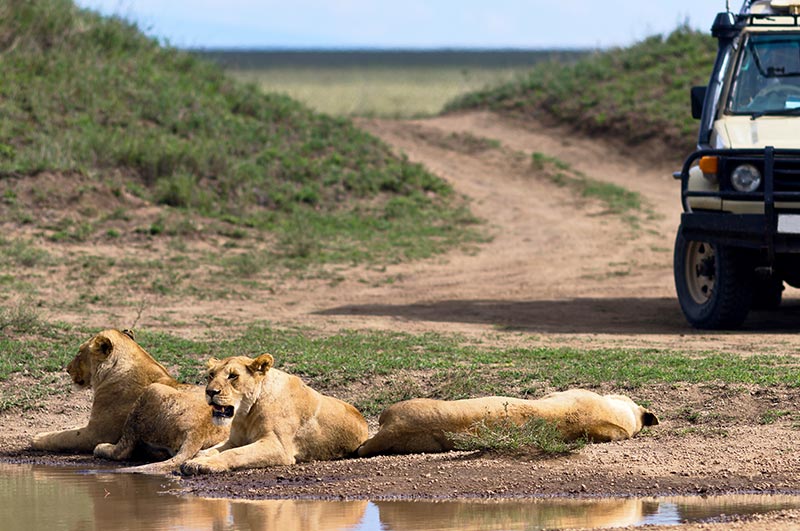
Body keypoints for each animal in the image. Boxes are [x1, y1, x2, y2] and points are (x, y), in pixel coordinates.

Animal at [180, 356, 370, 476]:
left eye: (233, 376)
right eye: (211, 375)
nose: (210, 392)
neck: (245, 414)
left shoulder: (277, 446)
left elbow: (234, 453)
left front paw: (203, 464)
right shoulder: (233, 440)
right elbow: (209, 450)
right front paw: (198, 459)